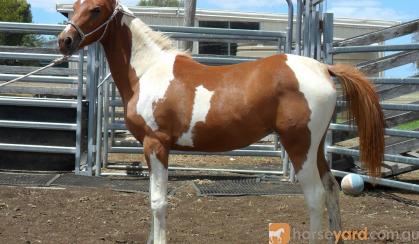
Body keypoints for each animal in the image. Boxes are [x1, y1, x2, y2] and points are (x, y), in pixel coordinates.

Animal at [58, 0, 384, 243]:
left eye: (96, 9)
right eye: (74, 6)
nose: (65, 41)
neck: (149, 70)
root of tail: (323, 68)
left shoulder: (157, 145)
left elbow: (158, 202)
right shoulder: (151, 149)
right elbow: (152, 199)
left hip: (299, 146)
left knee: (315, 195)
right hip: (314, 148)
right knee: (331, 189)